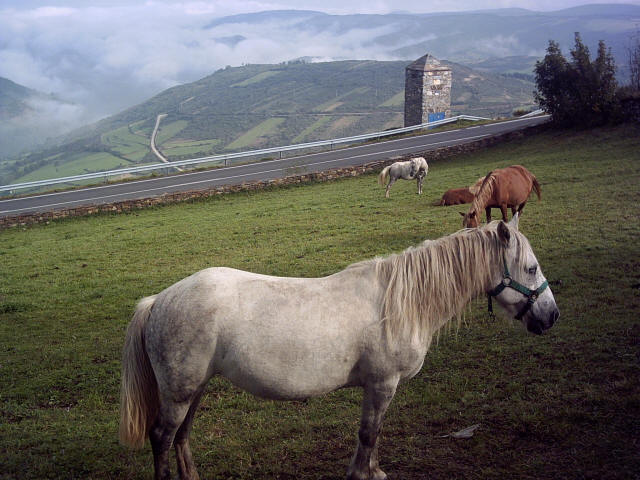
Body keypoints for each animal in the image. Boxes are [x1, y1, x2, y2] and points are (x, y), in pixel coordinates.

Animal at [120, 214, 559, 480]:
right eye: (531, 268)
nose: (551, 315)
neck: (398, 302)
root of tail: (158, 300)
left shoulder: (377, 387)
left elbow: (373, 433)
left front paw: (372, 470)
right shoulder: (382, 383)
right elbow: (369, 432)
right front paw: (363, 473)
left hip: (194, 389)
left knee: (181, 437)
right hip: (179, 392)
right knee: (161, 437)